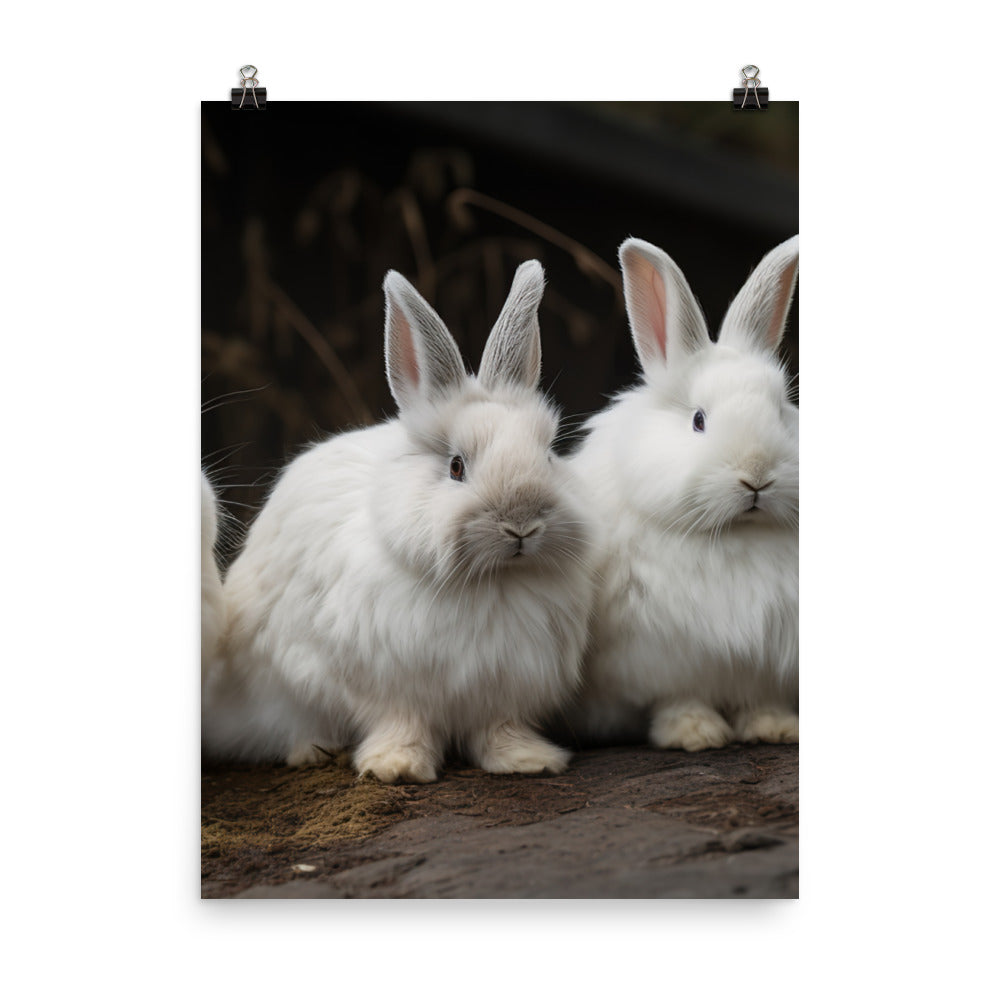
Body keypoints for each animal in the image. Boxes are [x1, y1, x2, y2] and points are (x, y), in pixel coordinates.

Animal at [201, 261, 596, 783]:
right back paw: (311, 751)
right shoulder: (387, 683)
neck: (490, 583)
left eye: (548, 455)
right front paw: (397, 767)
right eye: (456, 467)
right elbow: (400, 721)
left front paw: (526, 761)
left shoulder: (505, 686)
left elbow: (498, 728)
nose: (522, 525)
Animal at [566, 235, 799, 752]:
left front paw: (775, 728)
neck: (737, 535)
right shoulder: (660, 659)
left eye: (782, 411)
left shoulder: (766, 663)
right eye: (698, 420)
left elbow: (761, 698)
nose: (757, 476)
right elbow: (678, 697)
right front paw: (695, 733)